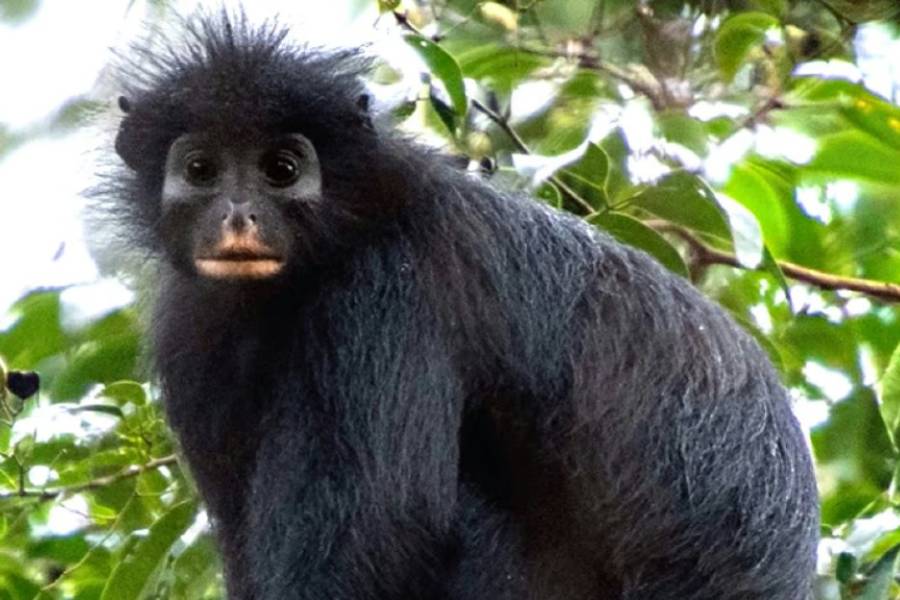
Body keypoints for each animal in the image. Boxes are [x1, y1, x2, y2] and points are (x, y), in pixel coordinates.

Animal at [97, 12, 819, 600]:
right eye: (201, 170)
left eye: (281, 170)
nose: (239, 215)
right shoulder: (191, 329)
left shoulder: (387, 289)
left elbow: (383, 531)